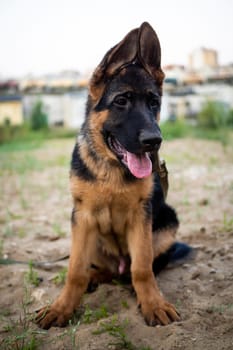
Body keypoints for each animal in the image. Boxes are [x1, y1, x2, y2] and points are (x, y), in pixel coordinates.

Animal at [37, 21, 181, 328]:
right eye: (122, 101)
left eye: (154, 102)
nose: (154, 141)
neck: (113, 168)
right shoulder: (82, 218)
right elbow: (75, 270)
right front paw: (62, 308)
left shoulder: (141, 216)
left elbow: (142, 268)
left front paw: (153, 304)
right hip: (89, 237)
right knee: (101, 271)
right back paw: (94, 278)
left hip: (167, 223)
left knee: (135, 270)